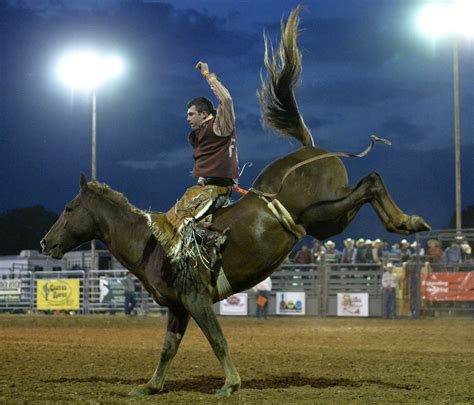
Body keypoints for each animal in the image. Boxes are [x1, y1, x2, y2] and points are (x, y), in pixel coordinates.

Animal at [40, 6, 430, 398]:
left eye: (69, 209)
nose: (44, 242)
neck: (150, 242)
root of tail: (309, 149)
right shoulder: (178, 307)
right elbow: (168, 348)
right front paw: (150, 386)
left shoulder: (196, 299)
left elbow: (217, 340)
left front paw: (230, 383)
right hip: (327, 223)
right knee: (367, 187)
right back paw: (404, 222)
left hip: (322, 213)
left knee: (371, 181)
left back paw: (408, 221)